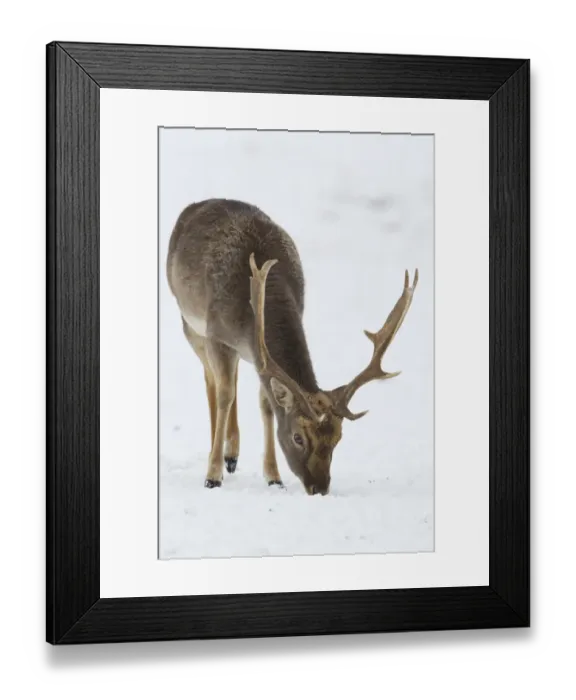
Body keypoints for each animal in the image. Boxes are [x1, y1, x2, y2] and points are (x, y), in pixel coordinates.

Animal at [166, 198, 418, 496]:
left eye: (338, 438)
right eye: (298, 437)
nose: (320, 488)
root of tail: (196, 206)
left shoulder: (258, 354)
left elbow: (266, 404)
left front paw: (273, 477)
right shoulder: (217, 336)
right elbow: (225, 393)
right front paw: (212, 476)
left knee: (232, 377)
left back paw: (232, 455)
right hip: (190, 325)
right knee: (213, 381)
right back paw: (224, 455)